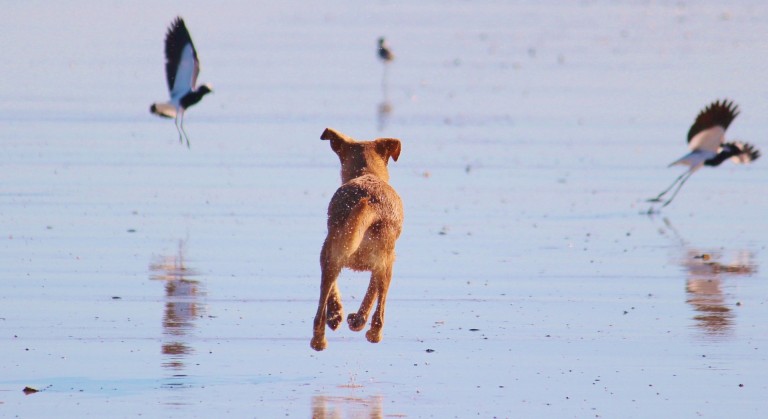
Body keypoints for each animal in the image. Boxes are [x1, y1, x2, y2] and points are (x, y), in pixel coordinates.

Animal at [310, 127, 404, 352]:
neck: (367, 173)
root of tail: (370, 204)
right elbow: (371, 293)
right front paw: (354, 319)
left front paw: (340, 315)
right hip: (384, 261)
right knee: (379, 312)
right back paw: (370, 333)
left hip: (334, 251)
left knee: (320, 310)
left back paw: (322, 337)